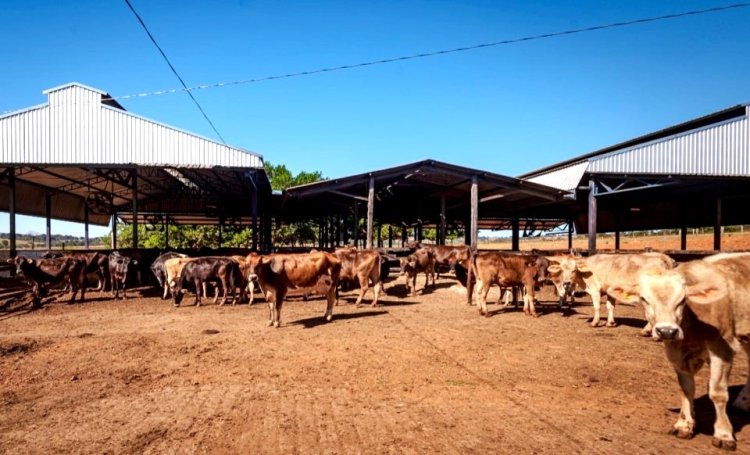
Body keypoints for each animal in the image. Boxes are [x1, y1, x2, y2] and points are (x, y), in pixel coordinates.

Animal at [548, 253, 676, 328]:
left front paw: (595, 322)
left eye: (574, 270)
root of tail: (663, 257)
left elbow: (597, 306)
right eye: (562, 270)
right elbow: (610, 307)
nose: (566, 283)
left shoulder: (595, 289)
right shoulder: (610, 290)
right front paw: (610, 323)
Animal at [608, 253, 750, 452]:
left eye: (683, 300)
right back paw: (744, 401)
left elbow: (718, 393)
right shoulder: (676, 354)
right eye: (644, 298)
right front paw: (684, 425)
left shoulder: (723, 349)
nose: (667, 331)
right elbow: (686, 388)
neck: (692, 328)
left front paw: (723, 434)